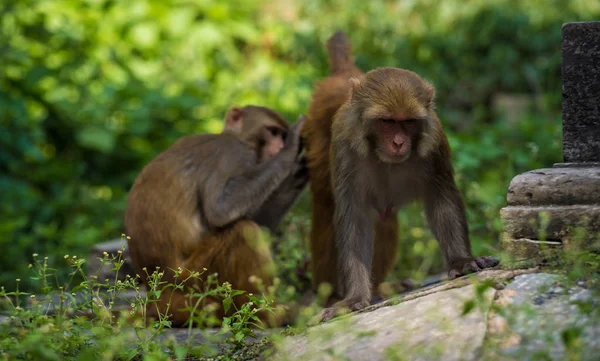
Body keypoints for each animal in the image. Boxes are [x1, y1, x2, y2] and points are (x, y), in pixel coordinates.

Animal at [124, 105, 308, 326]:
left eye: (281, 134)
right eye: (273, 132)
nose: (280, 145)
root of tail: (156, 296)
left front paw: (298, 173)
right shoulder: (233, 154)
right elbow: (221, 210)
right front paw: (291, 149)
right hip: (194, 279)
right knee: (243, 230)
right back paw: (267, 315)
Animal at [302, 31, 500, 318]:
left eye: (407, 122)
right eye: (387, 121)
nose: (398, 143)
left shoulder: (434, 139)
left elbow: (441, 199)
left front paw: (461, 261)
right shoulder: (344, 145)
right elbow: (354, 216)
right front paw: (353, 297)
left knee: (384, 217)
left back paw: (378, 288)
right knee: (326, 207)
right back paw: (332, 295)